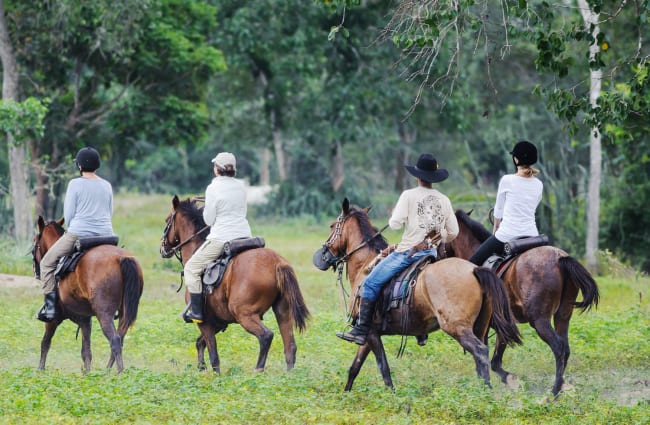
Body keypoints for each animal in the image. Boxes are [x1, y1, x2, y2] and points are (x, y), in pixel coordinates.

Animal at [32, 215, 144, 372]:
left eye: (35, 241)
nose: (35, 270)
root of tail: (121, 258)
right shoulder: (85, 320)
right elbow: (86, 351)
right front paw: (87, 373)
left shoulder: (53, 319)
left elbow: (45, 343)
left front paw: (40, 370)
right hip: (123, 313)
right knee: (120, 339)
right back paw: (107, 372)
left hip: (104, 314)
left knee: (115, 340)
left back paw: (119, 372)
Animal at [158, 195, 308, 372]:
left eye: (167, 220)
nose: (162, 248)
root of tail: (277, 263)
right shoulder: (218, 321)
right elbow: (200, 343)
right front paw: (201, 367)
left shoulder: (205, 323)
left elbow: (214, 355)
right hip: (282, 312)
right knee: (290, 346)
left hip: (245, 315)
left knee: (266, 336)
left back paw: (258, 370)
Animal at [314, 199, 520, 390]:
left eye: (332, 225)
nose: (321, 256)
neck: (365, 264)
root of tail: (474, 270)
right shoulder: (368, 336)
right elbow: (354, 368)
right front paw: (345, 394)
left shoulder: (370, 331)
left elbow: (384, 367)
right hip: (480, 327)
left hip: (457, 327)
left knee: (480, 353)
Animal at [440, 210, 596, 396]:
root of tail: (560, 258)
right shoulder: (504, 324)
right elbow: (494, 360)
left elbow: (486, 359)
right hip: (563, 316)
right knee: (565, 347)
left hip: (540, 321)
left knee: (558, 347)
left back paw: (553, 392)